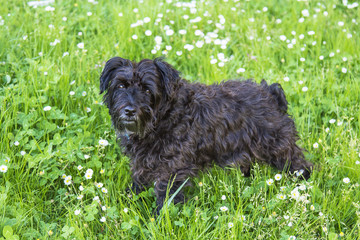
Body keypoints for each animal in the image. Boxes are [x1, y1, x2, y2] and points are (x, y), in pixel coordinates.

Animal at [100, 57, 314, 214]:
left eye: (146, 89)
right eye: (120, 86)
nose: (129, 110)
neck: (165, 116)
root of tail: (271, 92)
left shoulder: (172, 167)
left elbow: (165, 193)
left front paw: (161, 217)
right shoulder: (143, 161)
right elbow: (139, 180)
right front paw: (129, 198)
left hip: (277, 144)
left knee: (298, 162)